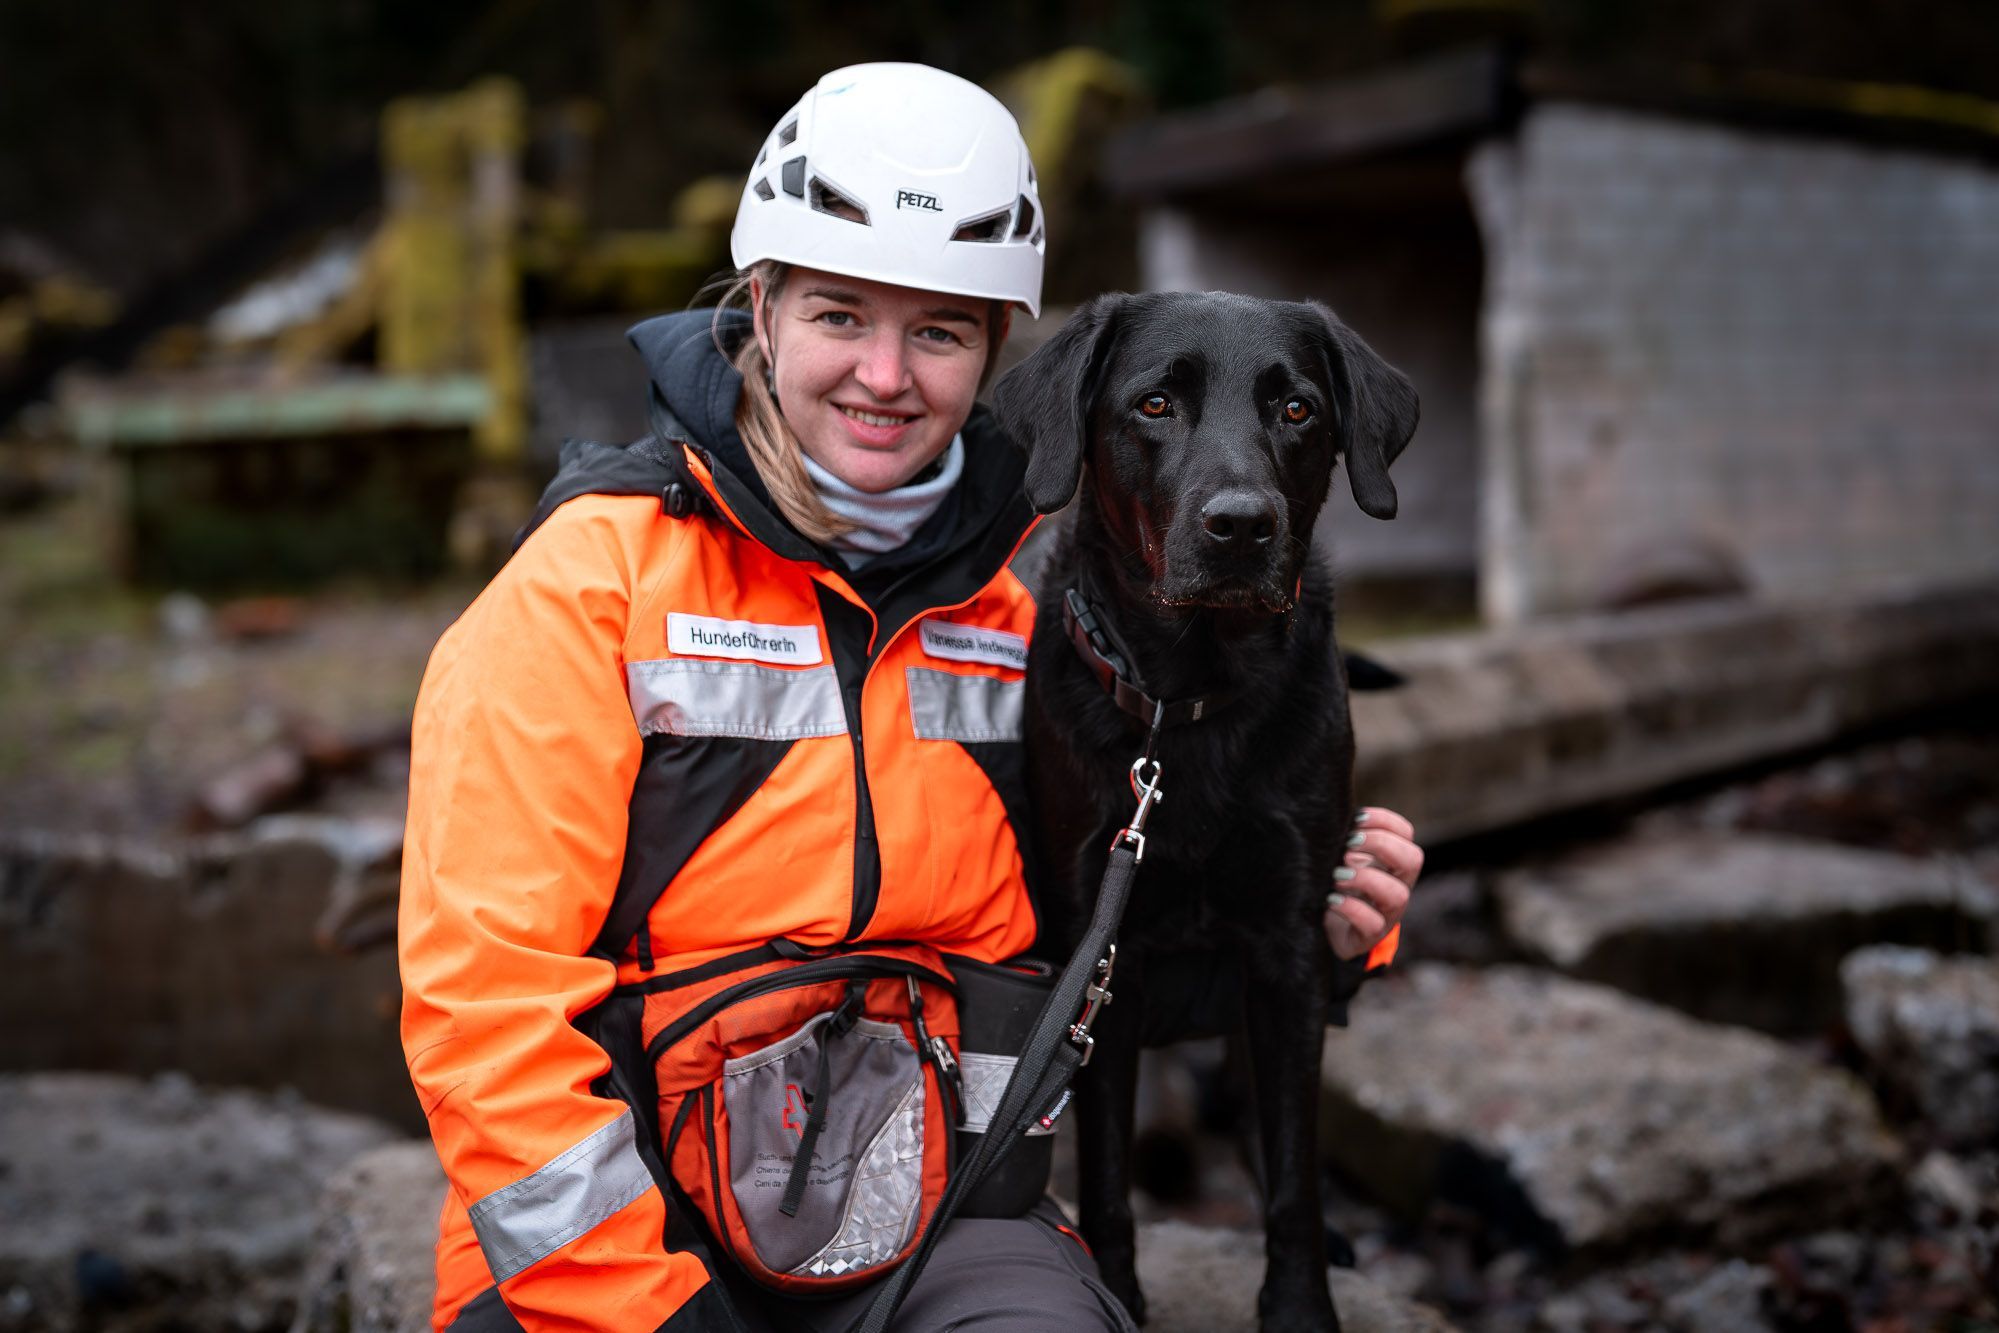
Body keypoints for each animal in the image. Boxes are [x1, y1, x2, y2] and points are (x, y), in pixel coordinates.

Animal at [989, 290, 1417, 1332]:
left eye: (1298, 409)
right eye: (1154, 404)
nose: (1241, 525)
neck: (1184, 700)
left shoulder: (1291, 945)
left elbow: (1295, 1170)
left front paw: (1300, 1306)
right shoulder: (1102, 957)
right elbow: (1106, 1170)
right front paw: (1117, 1288)